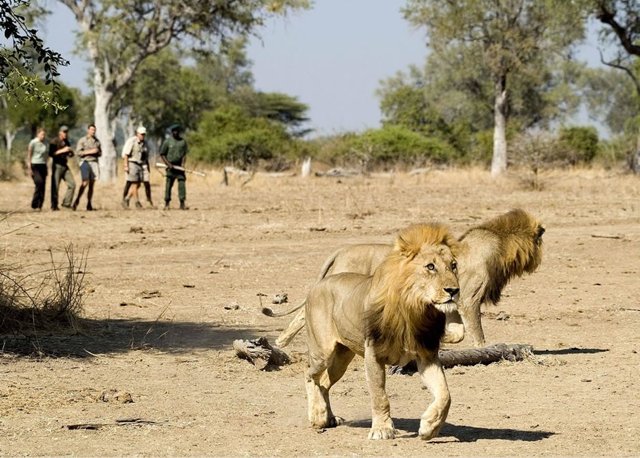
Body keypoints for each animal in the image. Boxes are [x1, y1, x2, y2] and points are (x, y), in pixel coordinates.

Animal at [264, 208, 544, 348]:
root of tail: (341, 250)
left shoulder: (452, 300)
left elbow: (457, 332)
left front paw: (441, 340)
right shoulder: (468, 299)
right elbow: (475, 332)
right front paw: (482, 349)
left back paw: (280, 342)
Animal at [304, 224, 460, 438]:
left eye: (453, 265)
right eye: (430, 267)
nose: (454, 290)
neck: (414, 309)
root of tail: (317, 285)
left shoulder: (427, 355)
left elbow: (445, 394)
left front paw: (430, 426)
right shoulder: (373, 354)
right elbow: (379, 395)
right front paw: (382, 429)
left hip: (342, 357)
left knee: (325, 382)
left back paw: (329, 418)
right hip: (323, 353)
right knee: (311, 376)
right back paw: (317, 416)